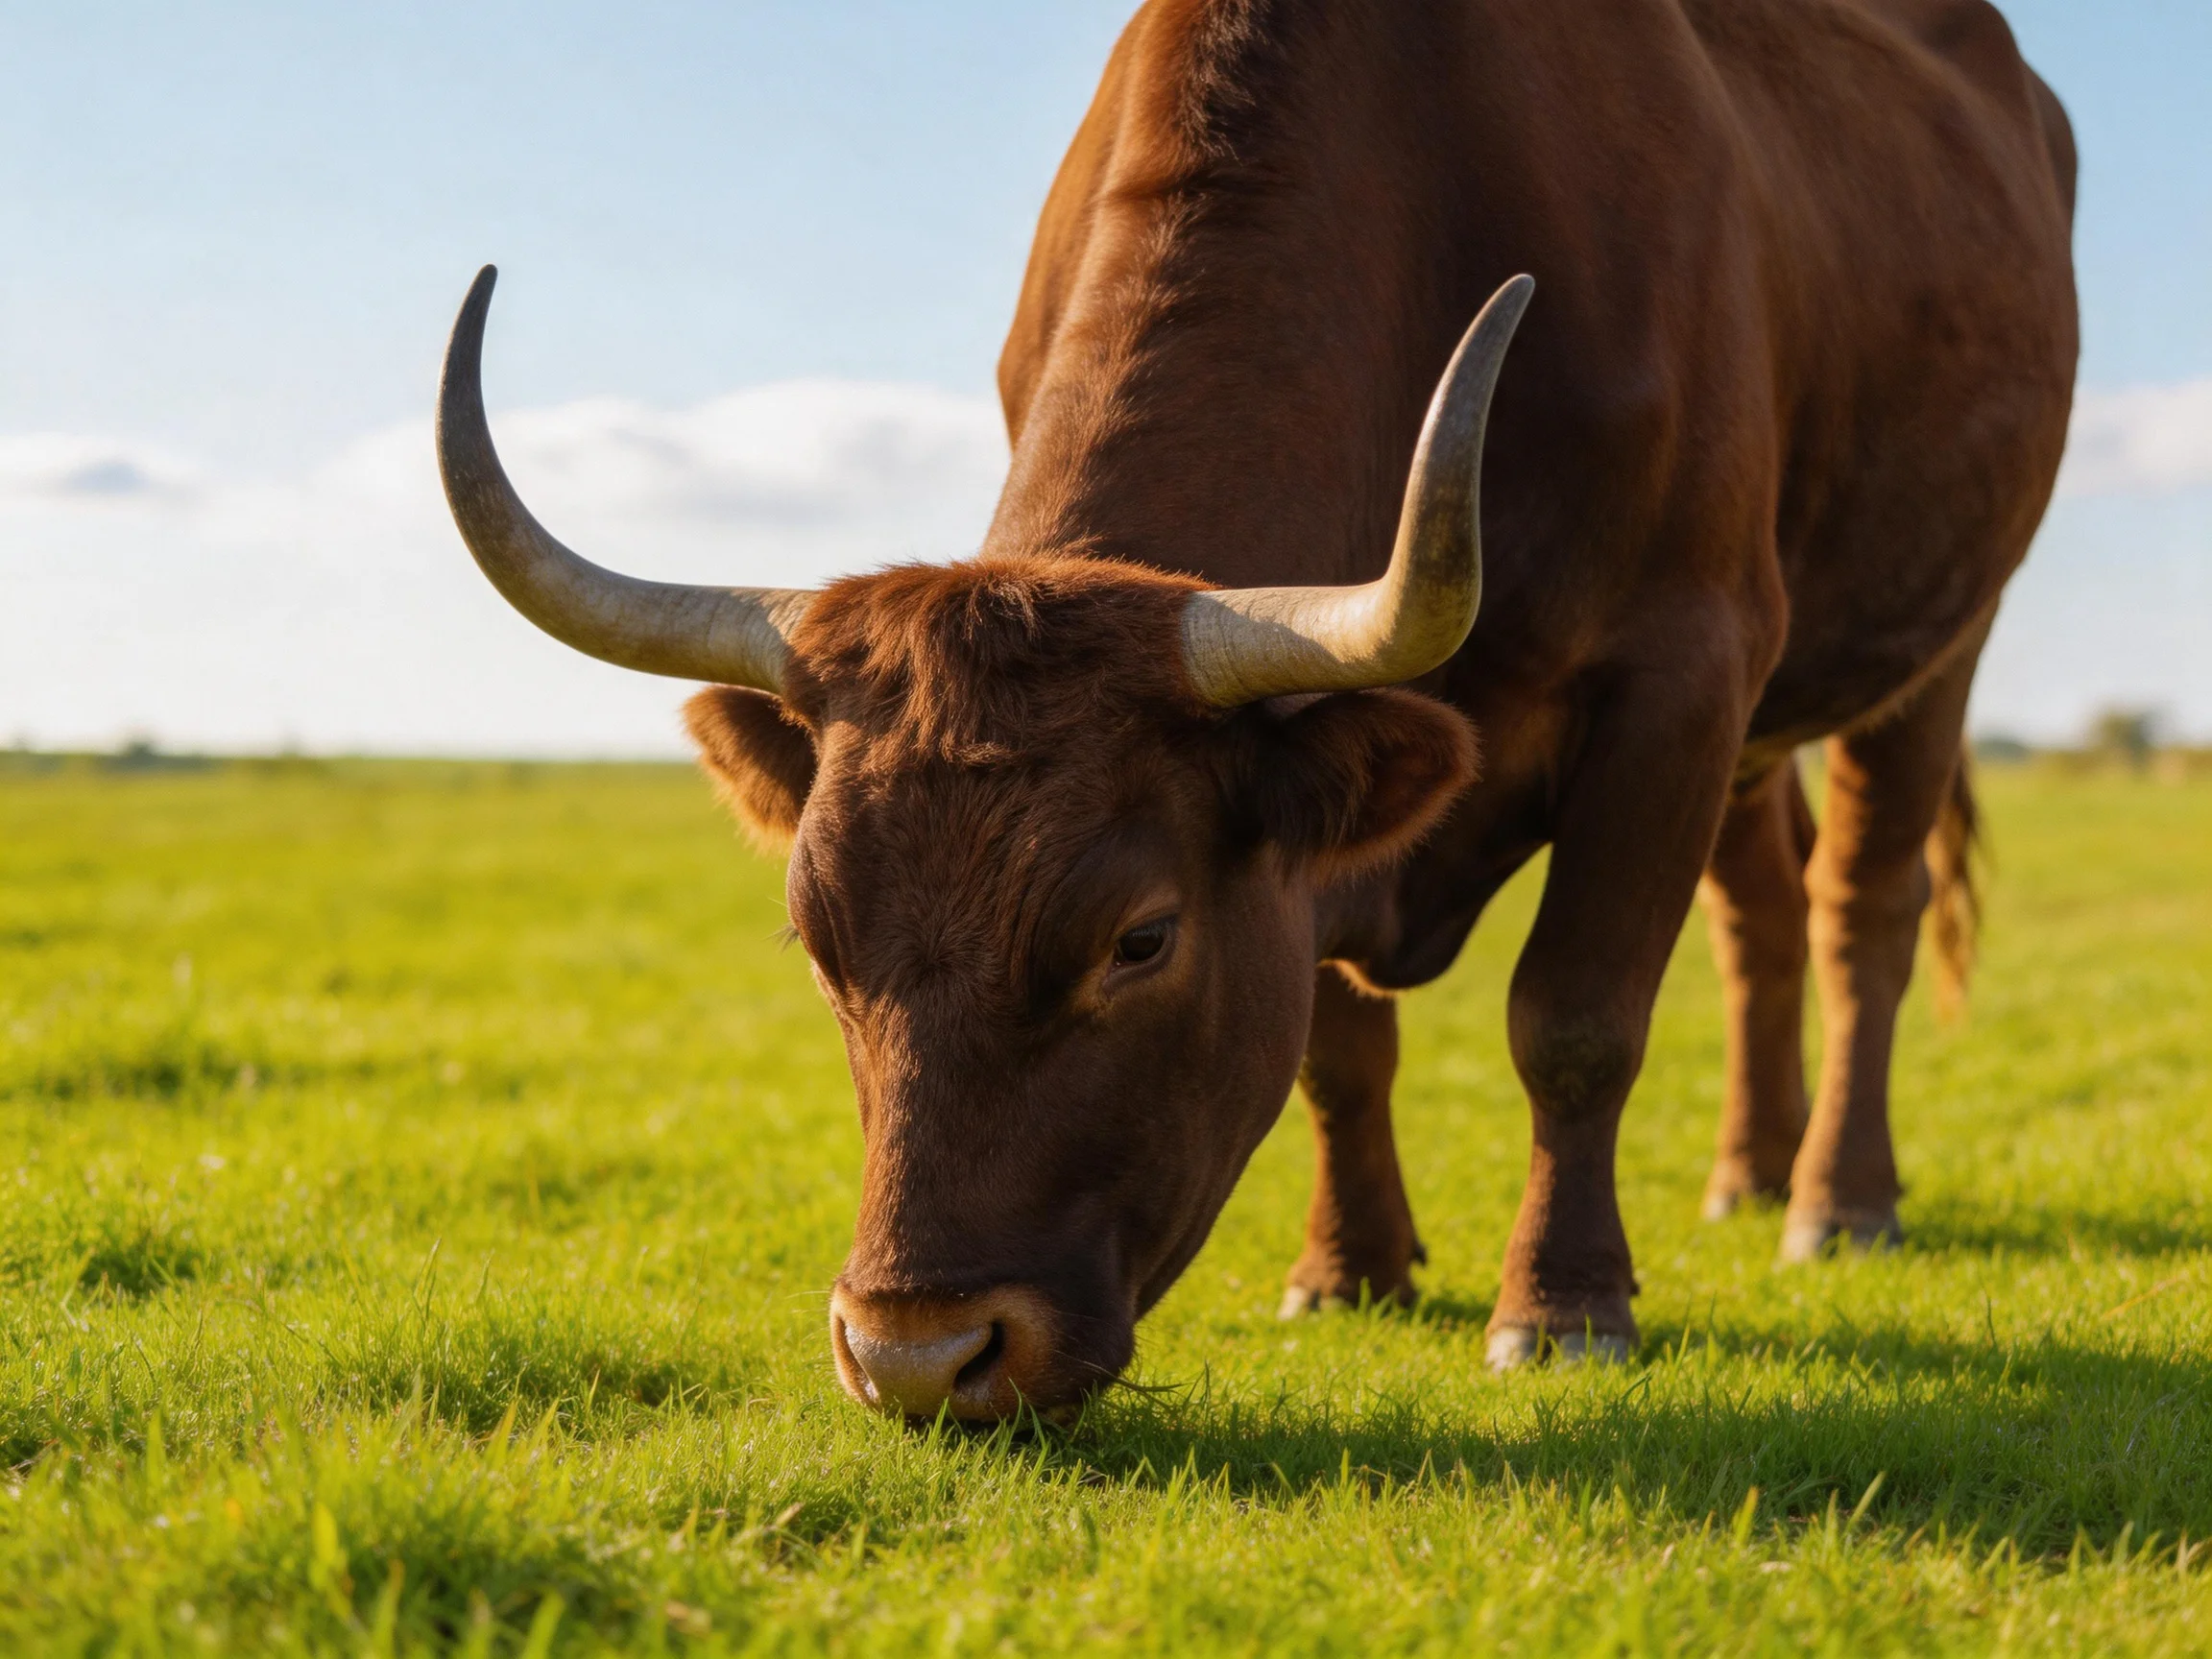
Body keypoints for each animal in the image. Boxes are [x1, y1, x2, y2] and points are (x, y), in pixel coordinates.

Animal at [436, 0, 2077, 1421]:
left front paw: (1561, 1310)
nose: (919, 1356)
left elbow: (1577, 1017)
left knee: (1862, 904)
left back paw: (1837, 1201)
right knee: (1762, 911)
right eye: (814, 937)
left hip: (1941, 635)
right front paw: (1347, 1271)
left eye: (1139, 939)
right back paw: (1750, 1169)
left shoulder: (1682, 669)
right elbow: (1336, 1046)